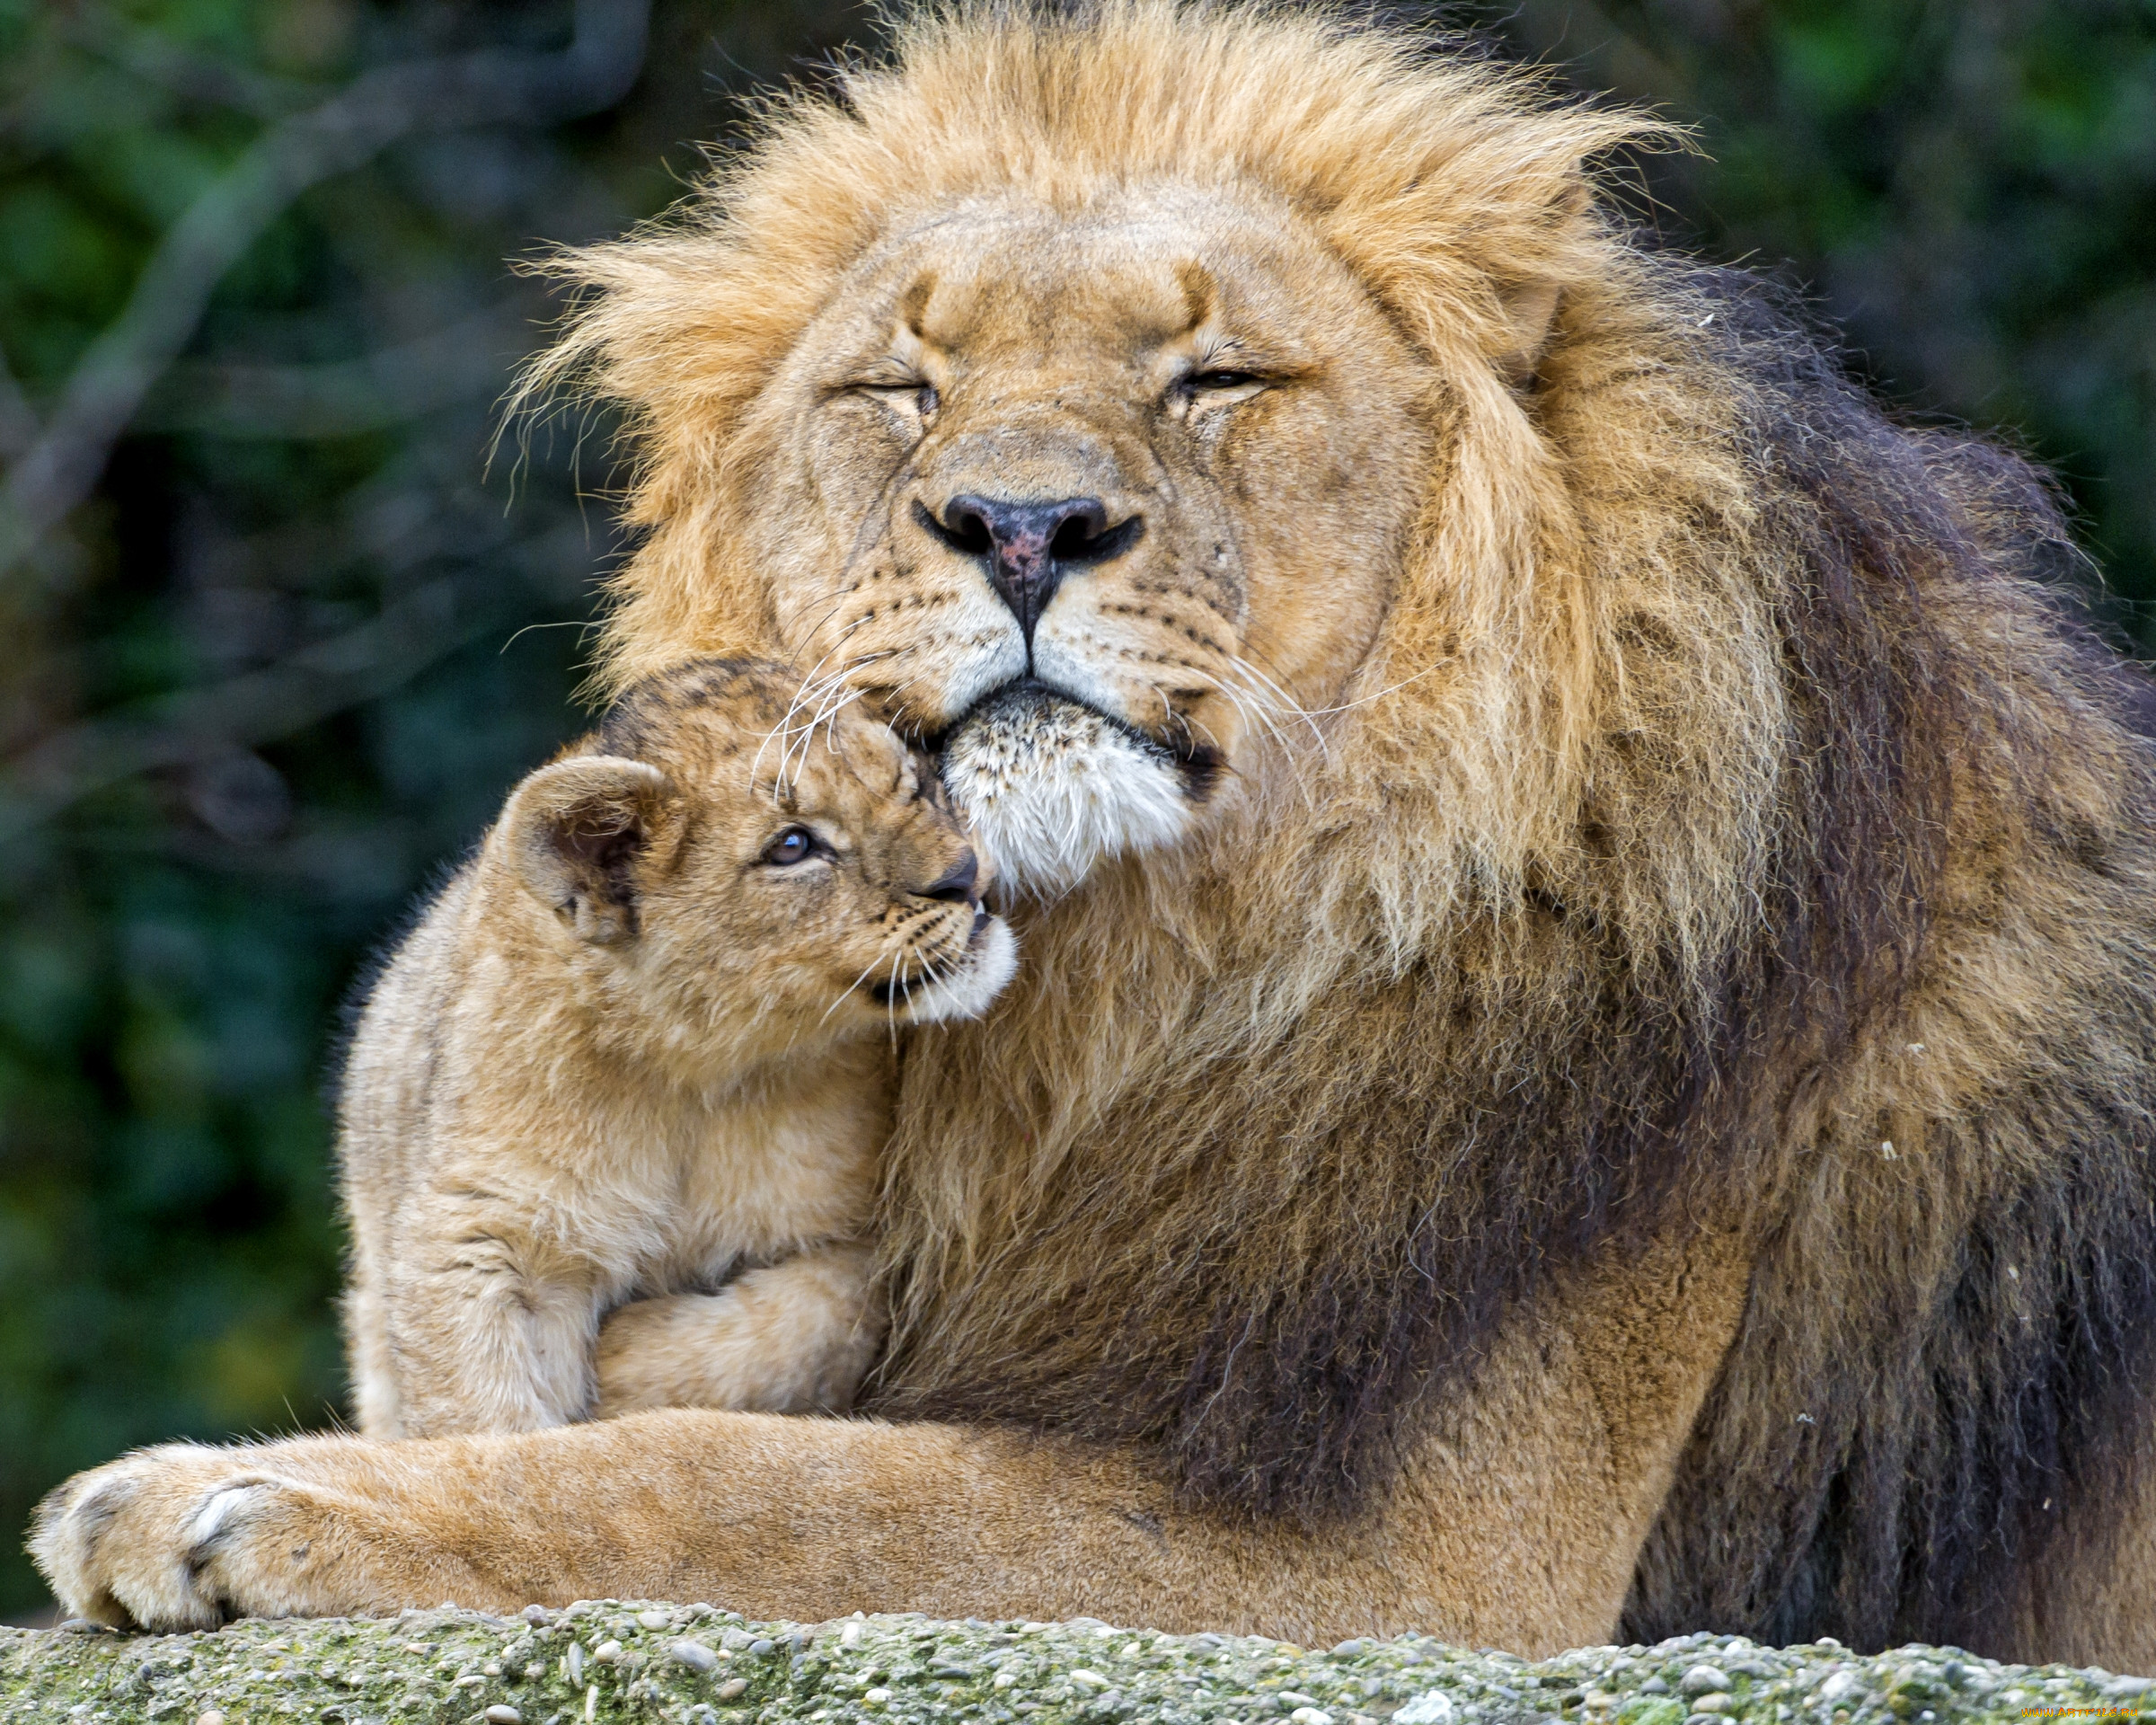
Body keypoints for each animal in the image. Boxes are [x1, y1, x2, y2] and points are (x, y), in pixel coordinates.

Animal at [331, 659, 1013, 1440]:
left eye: (914, 785)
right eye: (793, 847)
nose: (966, 875)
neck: (701, 1069)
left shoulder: (868, 1240)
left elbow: (802, 1328)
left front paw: (623, 1361)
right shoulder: (481, 1228)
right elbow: (480, 1419)